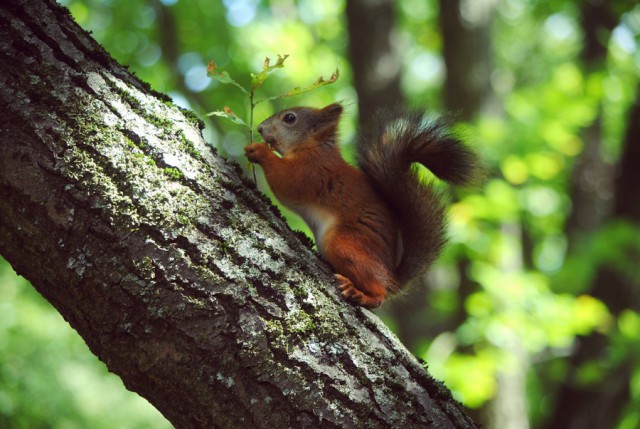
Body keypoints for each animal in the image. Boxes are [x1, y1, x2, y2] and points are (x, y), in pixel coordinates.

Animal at [245, 103, 480, 308]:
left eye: (289, 118)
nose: (260, 128)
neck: (313, 146)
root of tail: (391, 278)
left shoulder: (311, 171)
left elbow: (286, 182)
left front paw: (258, 150)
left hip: (344, 242)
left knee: (380, 294)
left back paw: (360, 293)